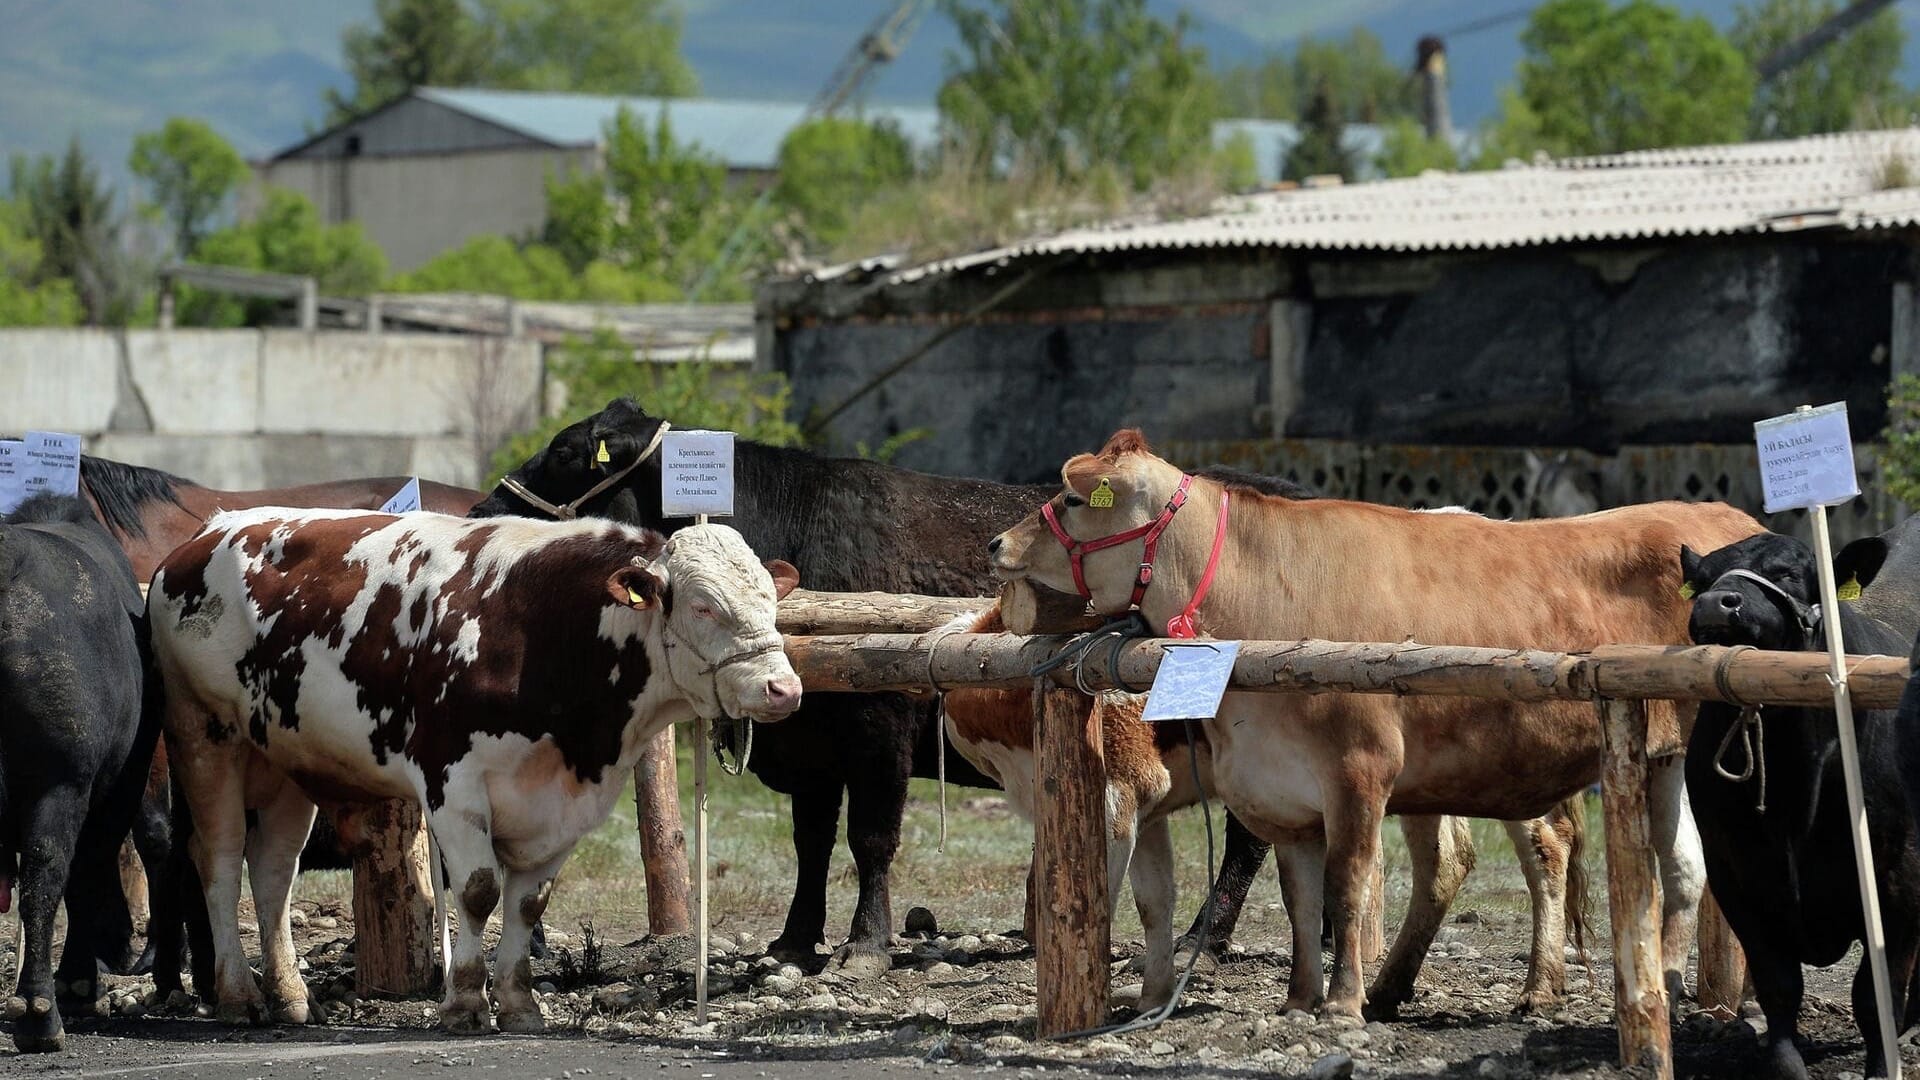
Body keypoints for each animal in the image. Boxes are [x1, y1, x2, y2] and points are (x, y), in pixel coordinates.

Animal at [149, 507, 802, 1030]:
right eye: (703, 606)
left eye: (772, 601)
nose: (784, 689)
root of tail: (209, 530)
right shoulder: (453, 784)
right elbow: (480, 889)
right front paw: (464, 1002)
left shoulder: (564, 806)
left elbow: (528, 903)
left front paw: (519, 1005)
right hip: (204, 732)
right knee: (220, 860)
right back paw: (239, 996)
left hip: (282, 758)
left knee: (273, 872)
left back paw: (290, 997)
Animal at [998, 428, 1758, 1014]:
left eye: (1074, 498)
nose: (997, 543)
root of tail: (1735, 519)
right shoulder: (1280, 789)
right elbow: (1300, 896)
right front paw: (1300, 998)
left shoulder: (1359, 769)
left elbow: (1347, 883)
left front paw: (1340, 1004)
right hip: (1658, 756)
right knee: (1678, 867)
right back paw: (1663, 985)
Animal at [1681, 530, 1920, 1076]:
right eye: (1700, 580)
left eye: (1788, 572)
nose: (1716, 602)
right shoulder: (1735, 876)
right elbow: (1779, 986)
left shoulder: (1899, 881)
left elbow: (1876, 998)